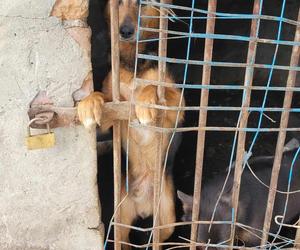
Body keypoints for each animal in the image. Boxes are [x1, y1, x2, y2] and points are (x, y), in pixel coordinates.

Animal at [78, 0, 183, 247]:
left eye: (143, 4)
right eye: (117, 4)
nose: (125, 31)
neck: (134, 59)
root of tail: (142, 201)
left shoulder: (178, 108)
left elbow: (155, 88)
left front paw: (145, 100)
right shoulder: (113, 115)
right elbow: (103, 100)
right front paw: (89, 103)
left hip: (166, 216)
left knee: (158, 236)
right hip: (120, 221)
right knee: (122, 240)